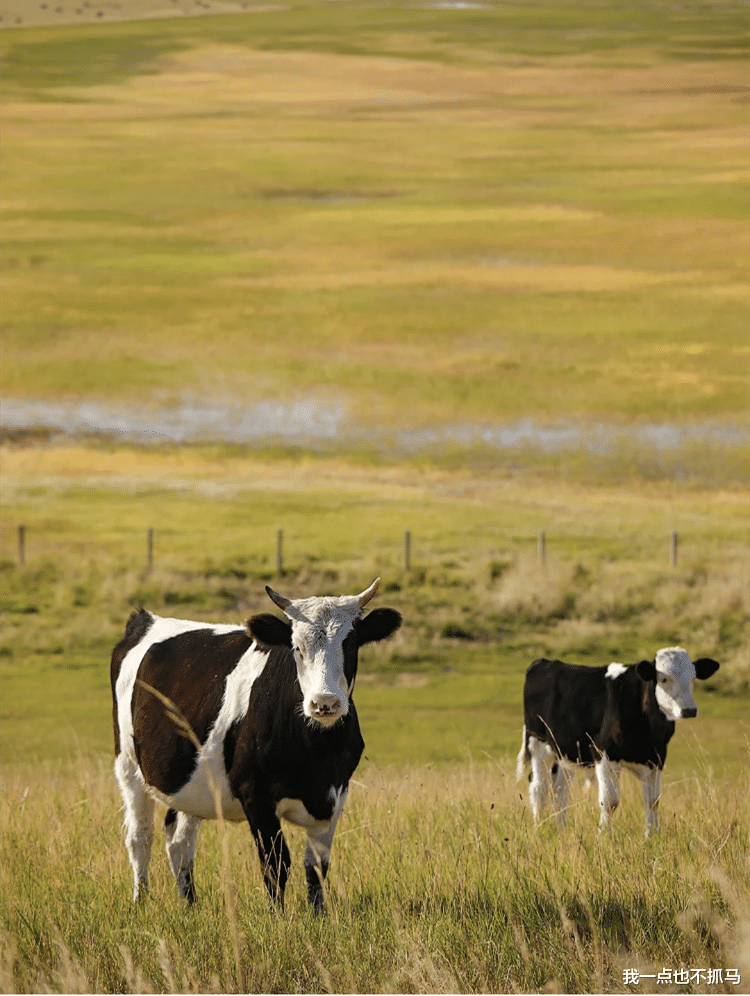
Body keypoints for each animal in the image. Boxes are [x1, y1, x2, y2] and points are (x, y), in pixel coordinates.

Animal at [111, 580, 402, 916]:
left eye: (350, 645)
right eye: (296, 648)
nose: (324, 703)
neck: (317, 755)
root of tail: (145, 619)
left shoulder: (335, 794)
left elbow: (316, 866)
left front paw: (319, 916)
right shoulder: (256, 795)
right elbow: (276, 863)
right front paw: (277, 918)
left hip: (191, 781)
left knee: (179, 841)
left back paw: (190, 907)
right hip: (129, 768)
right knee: (140, 838)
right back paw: (140, 902)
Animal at [516, 644, 724, 832]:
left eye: (693, 678)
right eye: (663, 678)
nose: (689, 710)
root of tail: (544, 662)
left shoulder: (657, 758)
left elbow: (652, 801)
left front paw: (651, 837)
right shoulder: (604, 754)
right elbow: (610, 802)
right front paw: (603, 837)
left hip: (566, 750)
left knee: (560, 791)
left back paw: (561, 830)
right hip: (538, 744)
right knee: (539, 788)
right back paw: (538, 828)